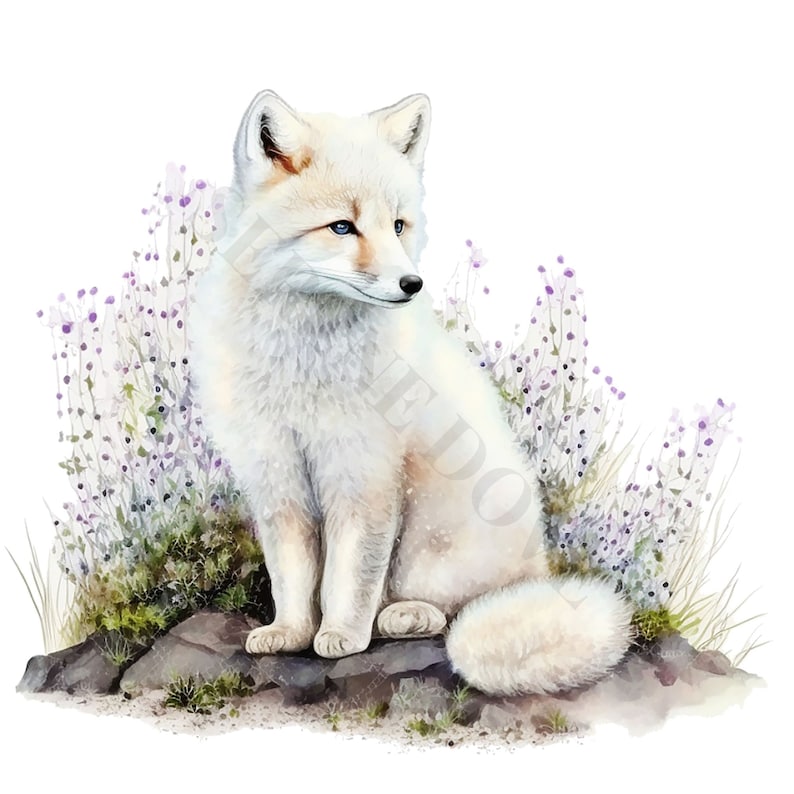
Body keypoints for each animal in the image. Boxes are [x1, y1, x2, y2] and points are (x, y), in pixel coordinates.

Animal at [189, 90, 633, 696]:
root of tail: (541, 571)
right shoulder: (277, 476)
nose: (411, 285)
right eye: (342, 227)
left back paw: (404, 617)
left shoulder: (365, 474)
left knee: (451, 610)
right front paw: (290, 633)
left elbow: (349, 575)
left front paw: (340, 637)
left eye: (398, 225)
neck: (301, 362)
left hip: (433, 544)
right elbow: (292, 576)